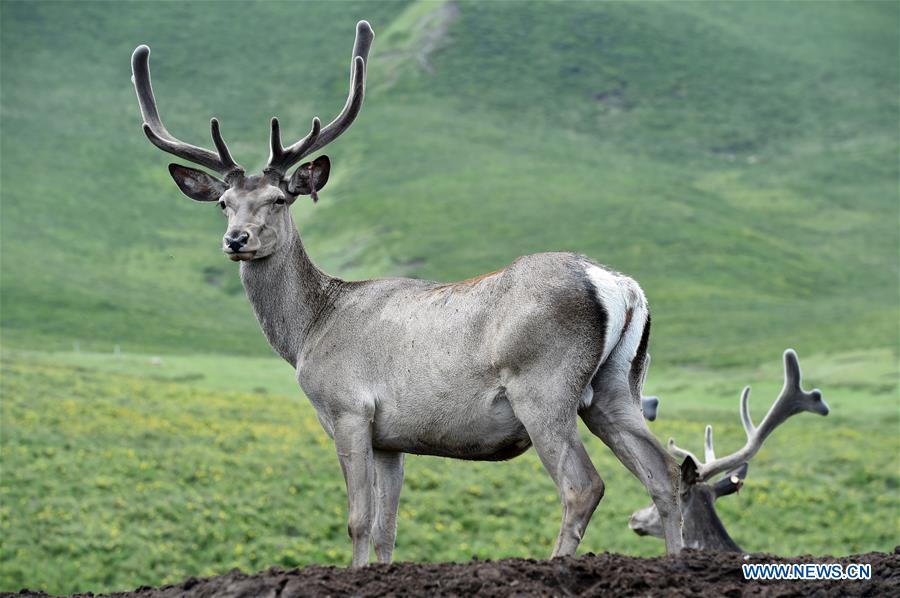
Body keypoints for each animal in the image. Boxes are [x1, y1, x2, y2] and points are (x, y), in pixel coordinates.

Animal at [130, 21, 686, 567]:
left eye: (278, 200)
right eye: (224, 202)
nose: (236, 240)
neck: (309, 331)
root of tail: (619, 287)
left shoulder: (348, 409)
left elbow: (357, 521)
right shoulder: (390, 438)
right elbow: (386, 530)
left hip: (543, 385)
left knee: (583, 485)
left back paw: (559, 560)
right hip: (616, 385)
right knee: (666, 471)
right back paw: (679, 559)